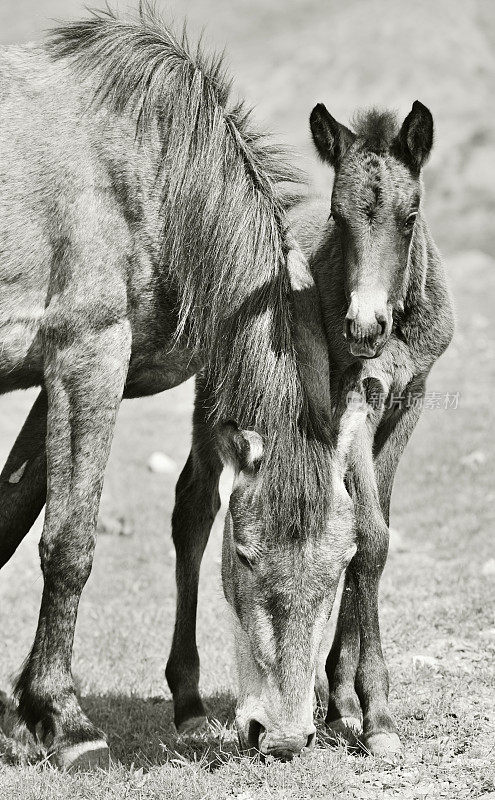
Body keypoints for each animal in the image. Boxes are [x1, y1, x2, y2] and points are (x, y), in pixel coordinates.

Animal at [0, 6, 364, 768]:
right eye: (244, 556)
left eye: (344, 563)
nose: (283, 738)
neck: (145, 170)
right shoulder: (87, 357)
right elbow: (69, 542)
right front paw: (67, 722)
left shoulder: (61, 379)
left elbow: (9, 516)